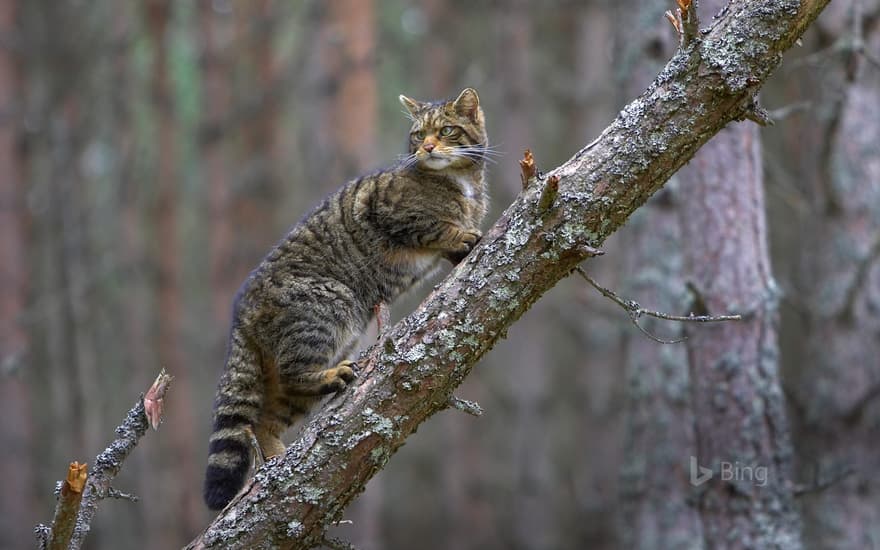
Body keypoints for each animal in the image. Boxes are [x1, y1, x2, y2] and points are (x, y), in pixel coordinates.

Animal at [205, 88, 488, 512]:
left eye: (446, 130)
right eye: (418, 134)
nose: (427, 147)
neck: (459, 180)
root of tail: (240, 311)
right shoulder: (387, 209)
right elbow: (435, 226)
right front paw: (461, 232)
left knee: (264, 419)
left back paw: (277, 460)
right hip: (330, 307)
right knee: (290, 376)